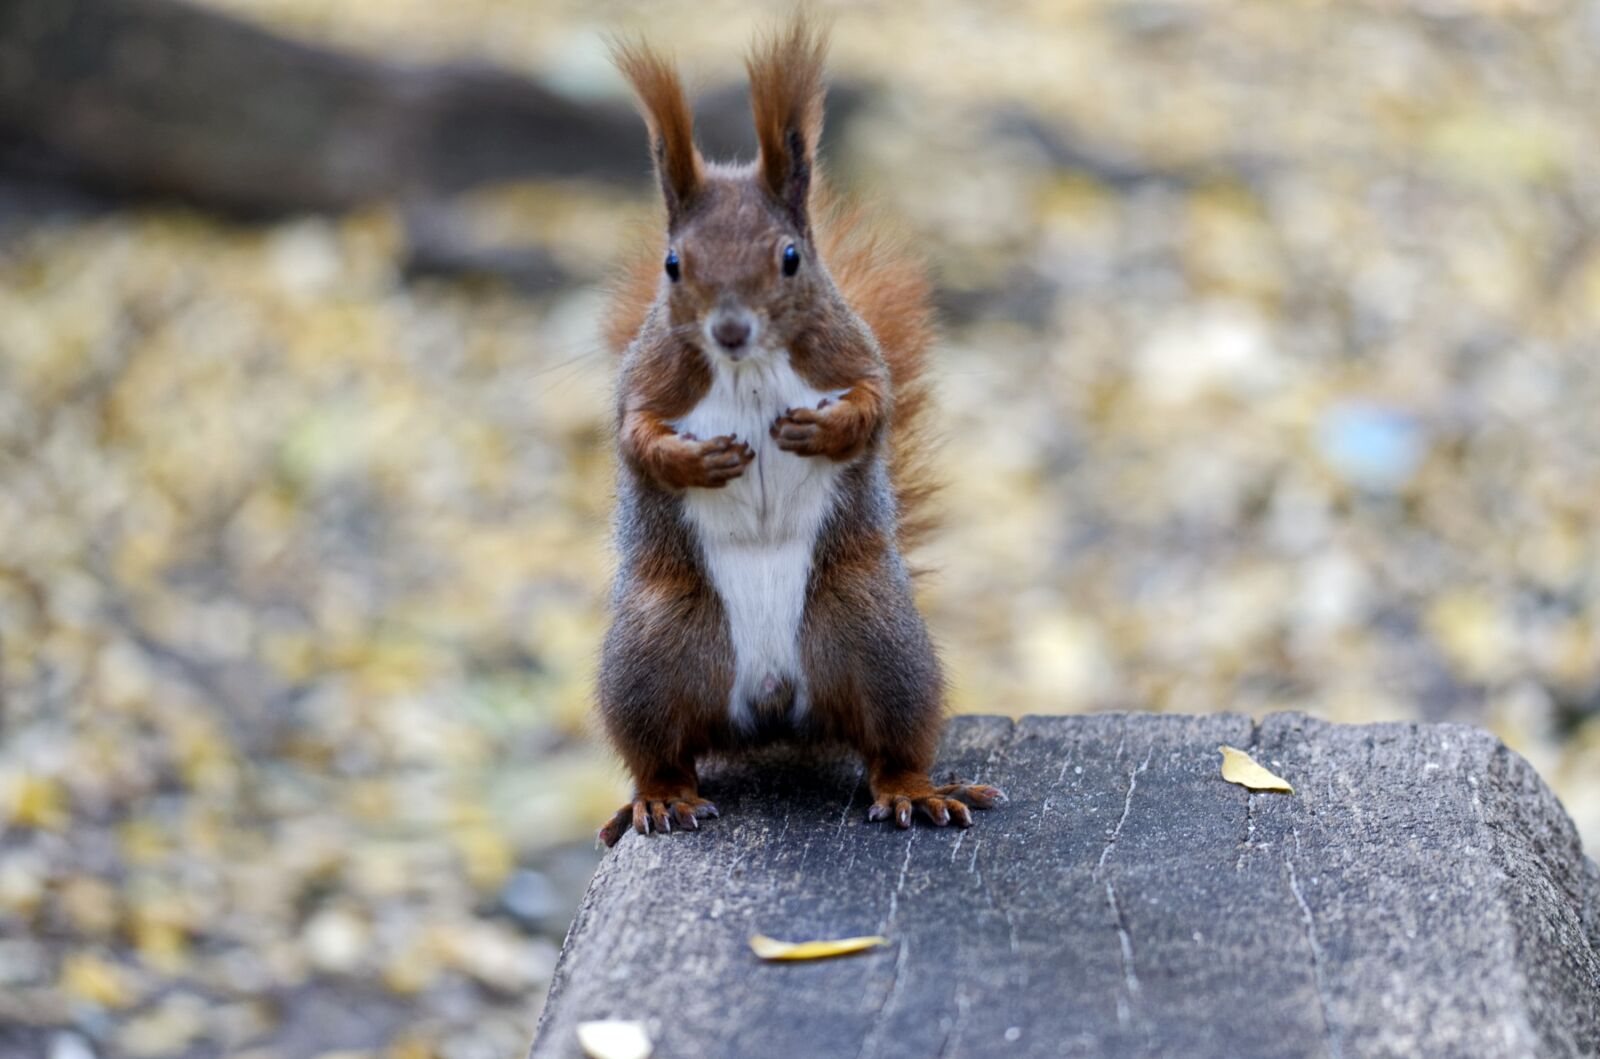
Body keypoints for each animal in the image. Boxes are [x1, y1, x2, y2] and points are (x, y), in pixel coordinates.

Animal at [596, 16, 1004, 847]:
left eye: (790, 257)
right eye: (672, 264)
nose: (729, 329)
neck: (747, 365)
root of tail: (772, 707)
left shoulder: (852, 351)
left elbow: (875, 402)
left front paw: (822, 429)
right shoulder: (645, 378)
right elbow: (634, 436)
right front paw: (698, 461)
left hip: (876, 641)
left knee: (890, 742)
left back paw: (916, 789)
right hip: (652, 655)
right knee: (660, 750)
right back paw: (660, 798)